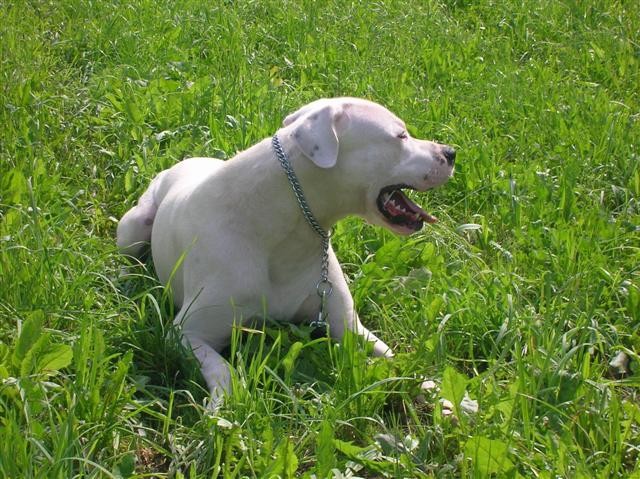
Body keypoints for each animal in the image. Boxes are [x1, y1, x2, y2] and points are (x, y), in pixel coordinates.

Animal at [116, 96, 456, 402]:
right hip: (134, 227)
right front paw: (222, 404)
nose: (451, 152)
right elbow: (223, 370)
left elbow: (398, 361)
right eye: (400, 136)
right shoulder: (186, 334)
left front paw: (446, 398)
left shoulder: (347, 326)